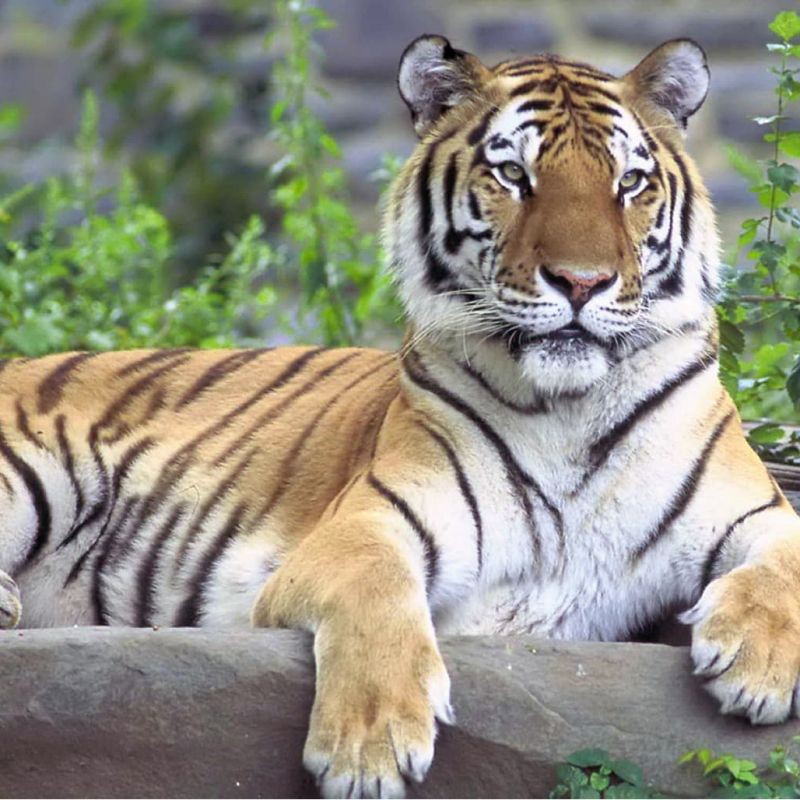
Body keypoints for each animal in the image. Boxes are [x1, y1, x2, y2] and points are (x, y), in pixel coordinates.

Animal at [1, 32, 799, 799]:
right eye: (514, 176)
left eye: (628, 182)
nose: (582, 282)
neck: (567, 408)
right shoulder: (366, 524)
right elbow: (378, 593)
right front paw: (368, 750)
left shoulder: (756, 510)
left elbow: (788, 559)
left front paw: (757, 665)